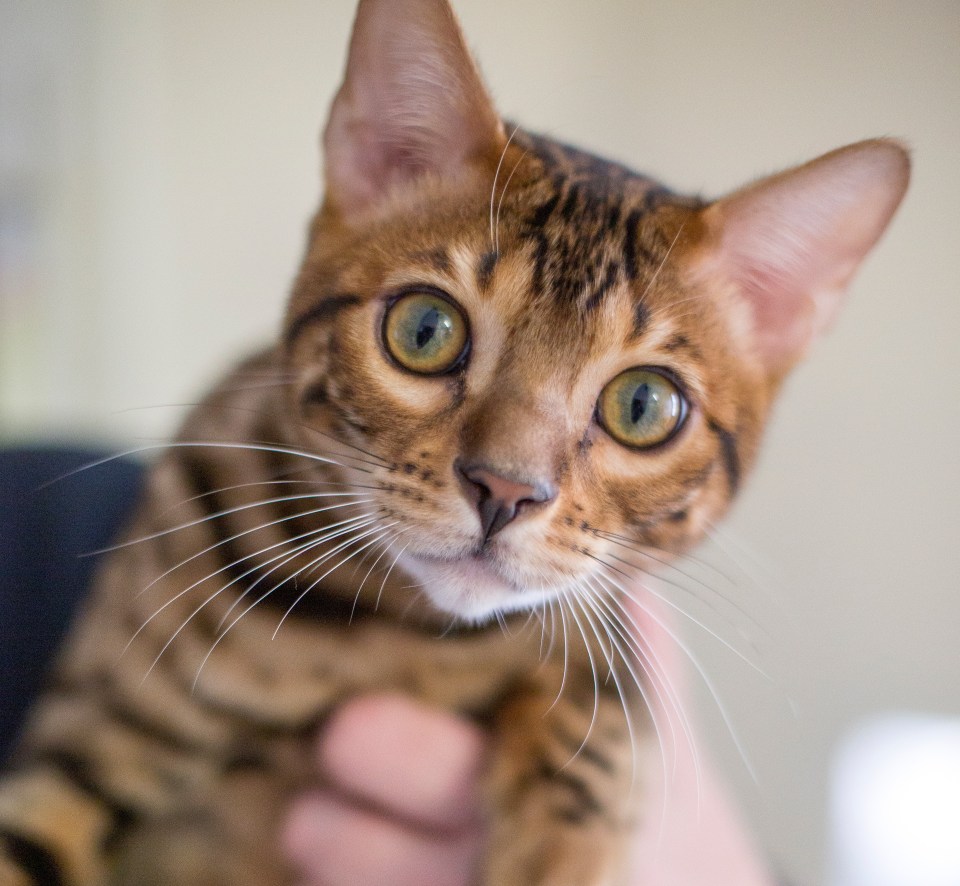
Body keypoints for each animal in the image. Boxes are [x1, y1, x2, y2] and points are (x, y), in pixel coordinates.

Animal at [0, 1, 908, 886]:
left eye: (644, 405)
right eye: (424, 330)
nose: (504, 491)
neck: (393, 639)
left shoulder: (602, 625)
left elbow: (605, 692)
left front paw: (564, 853)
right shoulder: (93, 728)